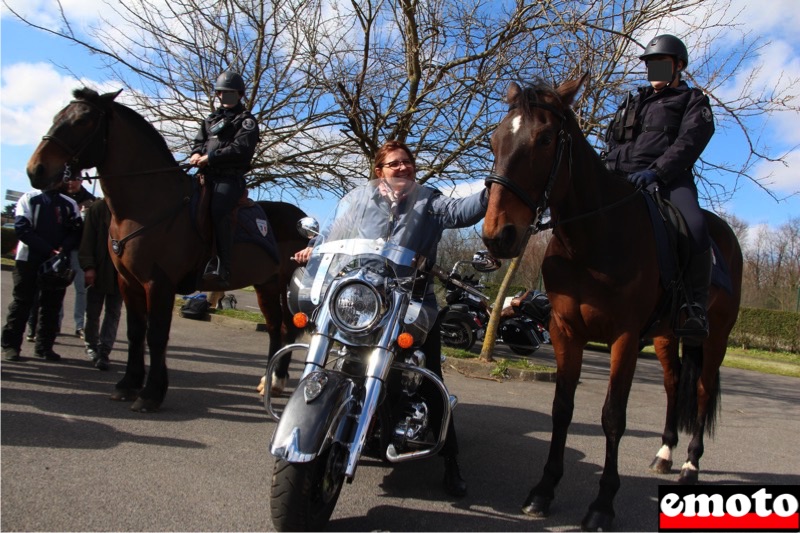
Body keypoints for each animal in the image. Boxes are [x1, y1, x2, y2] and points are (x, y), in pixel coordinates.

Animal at [26, 88, 308, 412]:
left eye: (82, 120)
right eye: (57, 116)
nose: (36, 170)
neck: (150, 205)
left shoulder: (158, 283)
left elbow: (157, 335)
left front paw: (151, 393)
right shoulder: (128, 283)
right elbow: (136, 332)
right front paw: (128, 384)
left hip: (282, 284)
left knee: (285, 327)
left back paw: (275, 381)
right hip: (266, 284)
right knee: (277, 328)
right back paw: (270, 382)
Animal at [482, 77, 744, 528]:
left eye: (545, 138)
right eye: (496, 139)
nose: (499, 235)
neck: (593, 237)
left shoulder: (623, 338)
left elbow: (612, 417)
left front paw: (603, 504)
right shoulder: (566, 332)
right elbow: (562, 407)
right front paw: (544, 490)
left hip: (715, 339)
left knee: (703, 389)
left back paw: (690, 465)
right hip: (665, 338)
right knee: (675, 383)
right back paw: (664, 453)